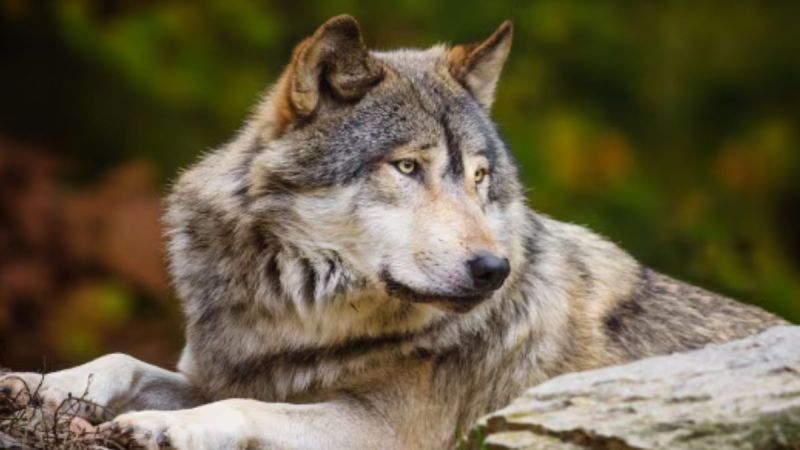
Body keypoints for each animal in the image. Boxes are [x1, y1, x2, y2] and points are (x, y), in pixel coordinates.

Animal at [0, 15, 786, 450]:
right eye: (408, 167)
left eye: (479, 178)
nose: (493, 270)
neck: (298, 315)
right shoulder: (216, 370)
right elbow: (123, 362)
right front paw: (36, 385)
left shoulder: (387, 431)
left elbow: (243, 406)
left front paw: (169, 430)